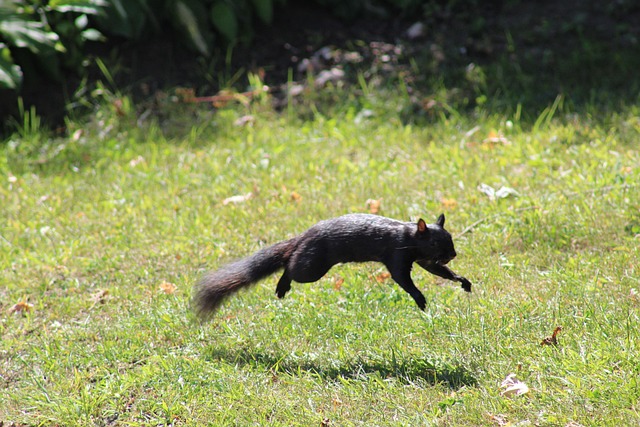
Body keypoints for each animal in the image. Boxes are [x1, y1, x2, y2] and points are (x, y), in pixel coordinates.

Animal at [193, 213, 472, 317]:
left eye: (450, 238)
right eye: (435, 242)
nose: (453, 254)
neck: (409, 236)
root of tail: (303, 237)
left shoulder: (424, 260)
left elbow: (438, 271)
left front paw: (463, 281)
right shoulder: (396, 256)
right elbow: (402, 278)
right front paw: (420, 299)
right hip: (312, 267)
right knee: (290, 267)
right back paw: (282, 286)